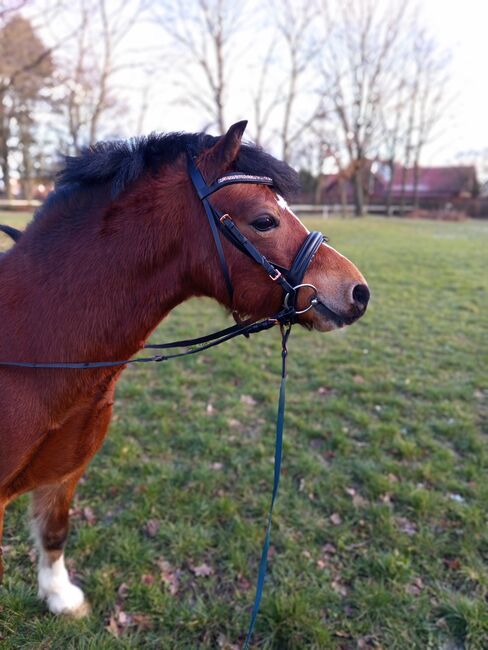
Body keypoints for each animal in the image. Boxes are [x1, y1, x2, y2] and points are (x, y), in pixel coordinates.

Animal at [0, 120, 370, 616]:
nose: (358, 291)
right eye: (264, 220)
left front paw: (60, 596)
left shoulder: (65, 473)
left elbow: (55, 531)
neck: (36, 351)